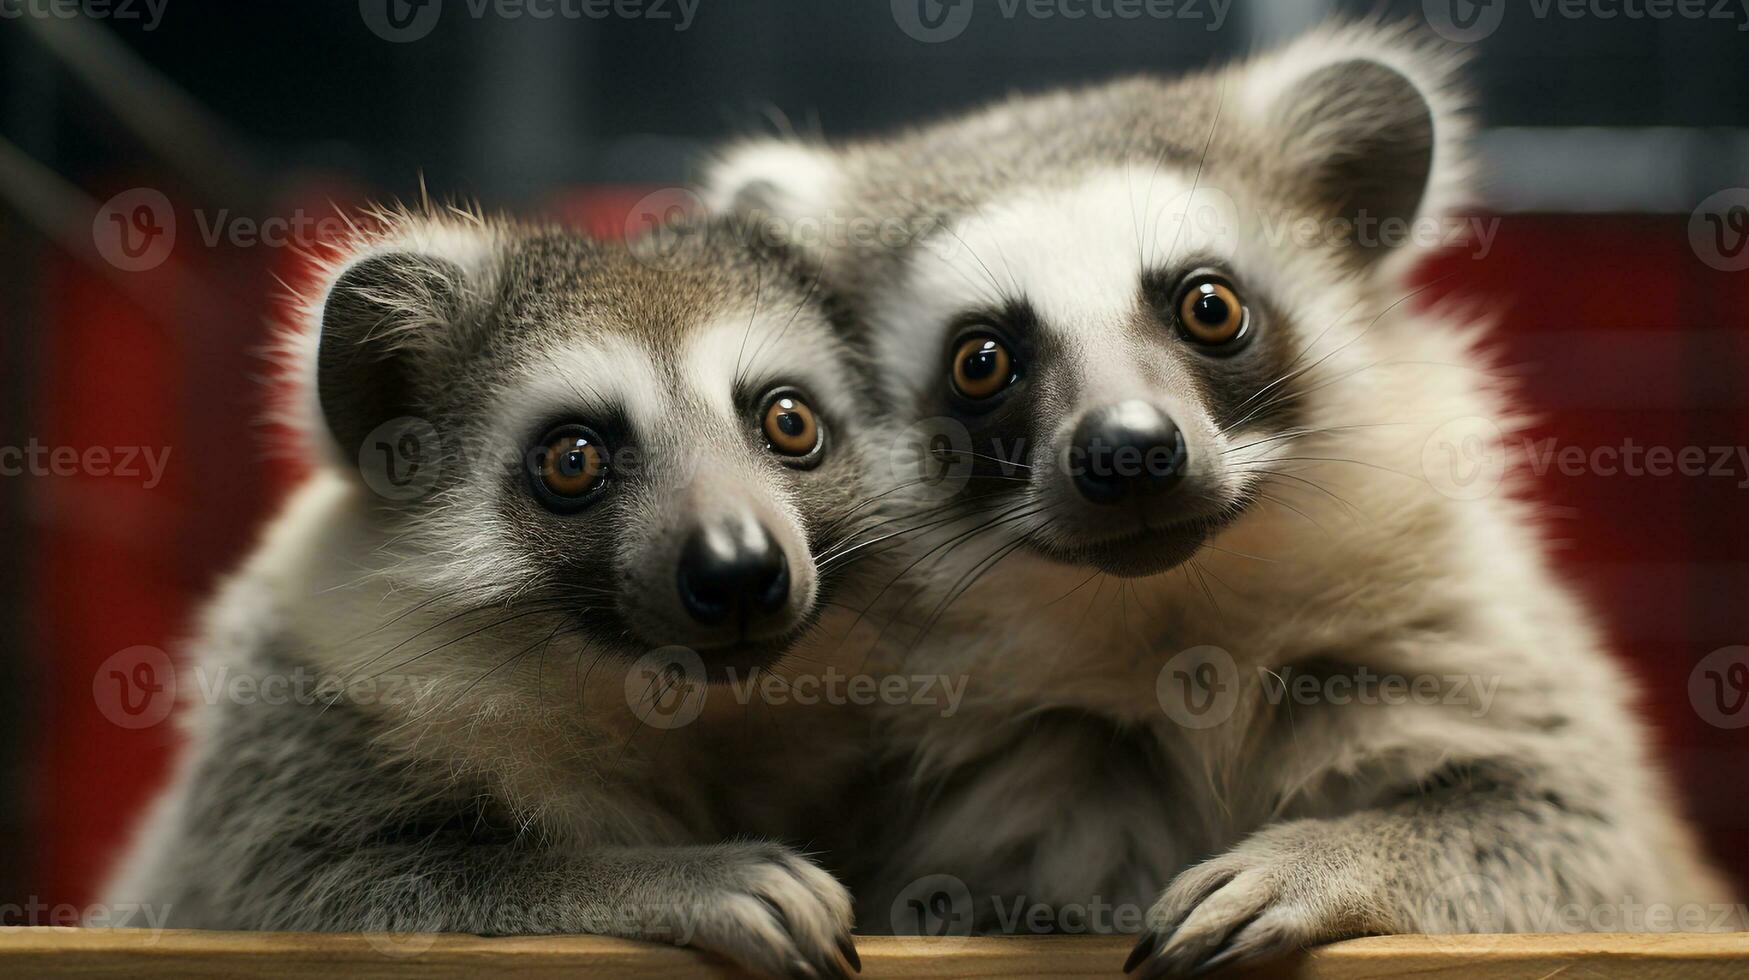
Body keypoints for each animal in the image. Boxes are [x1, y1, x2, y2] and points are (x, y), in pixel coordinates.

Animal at [100, 210, 881, 973]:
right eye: (573, 461)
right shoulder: (292, 723)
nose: (738, 567)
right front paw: (678, 880)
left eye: (789, 423)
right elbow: (300, 893)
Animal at [706, 19, 1735, 973]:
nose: (1128, 452)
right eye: (981, 361)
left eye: (1209, 307)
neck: (1174, 612)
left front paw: (1333, 860)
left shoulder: (1463, 642)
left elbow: (1579, 845)